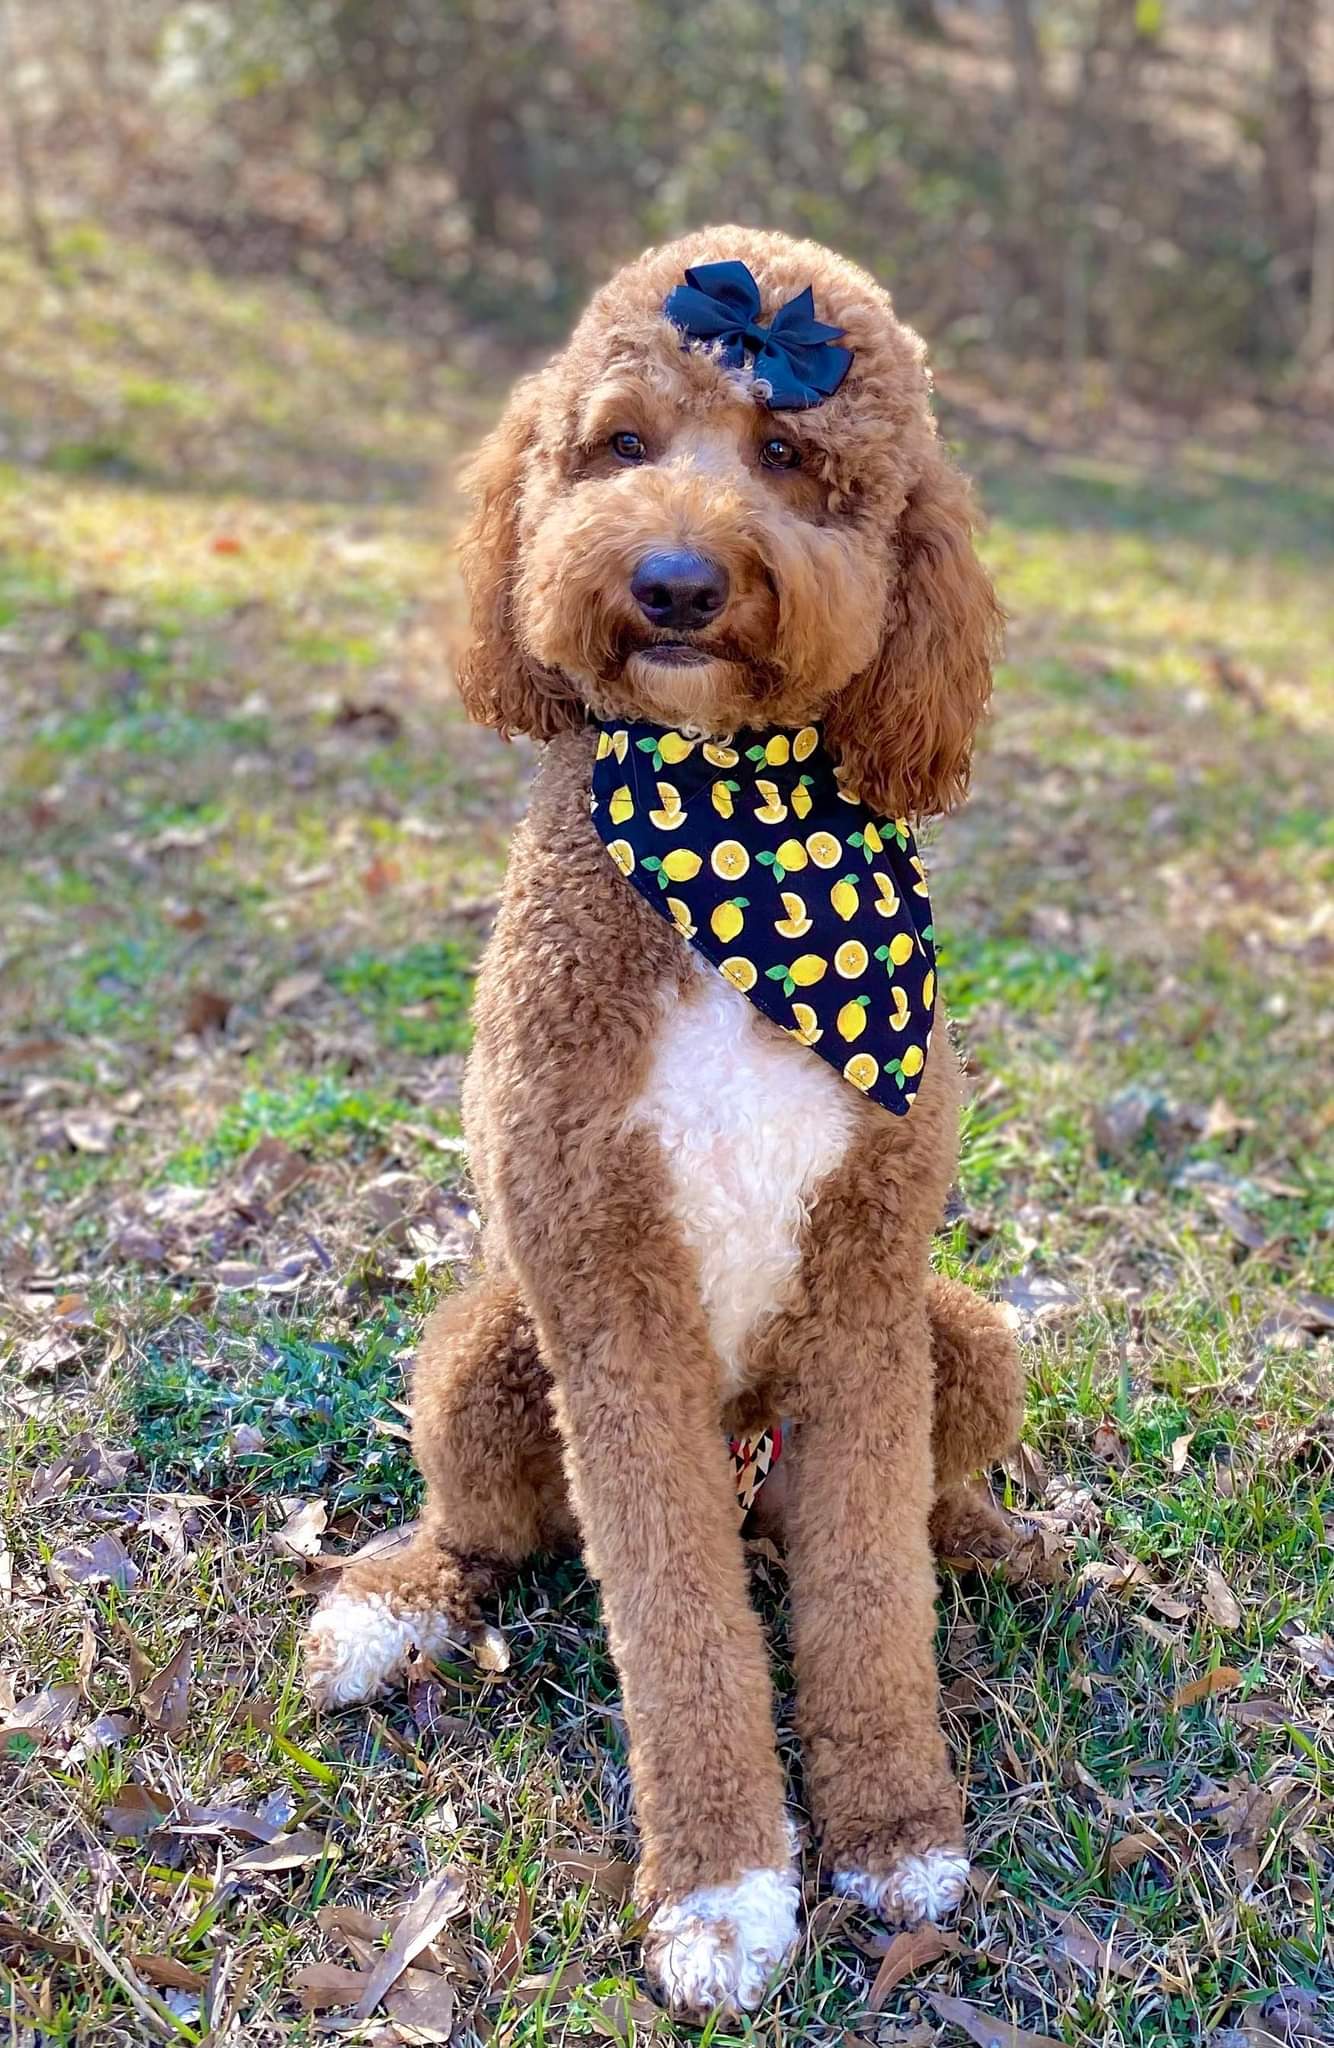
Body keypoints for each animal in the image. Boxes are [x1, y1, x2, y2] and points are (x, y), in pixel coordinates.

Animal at [305, 224, 1024, 2015]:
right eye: (620, 444)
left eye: (790, 456)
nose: (678, 585)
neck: (733, 829)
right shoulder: (605, 1282)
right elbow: (677, 1622)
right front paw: (722, 1894)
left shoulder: (864, 1285)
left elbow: (865, 1592)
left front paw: (893, 1830)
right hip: (485, 1350)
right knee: (482, 1531)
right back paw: (385, 1609)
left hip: (964, 1334)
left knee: (907, 1502)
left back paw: (989, 1534)